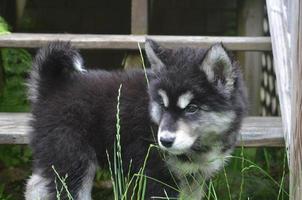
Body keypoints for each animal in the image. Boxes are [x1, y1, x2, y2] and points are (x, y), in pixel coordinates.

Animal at [25, 39, 248, 199]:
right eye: (162, 105)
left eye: (192, 108)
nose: (165, 141)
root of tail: (52, 86)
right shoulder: (158, 177)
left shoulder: (194, 178)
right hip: (73, 160)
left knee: (35, 185)